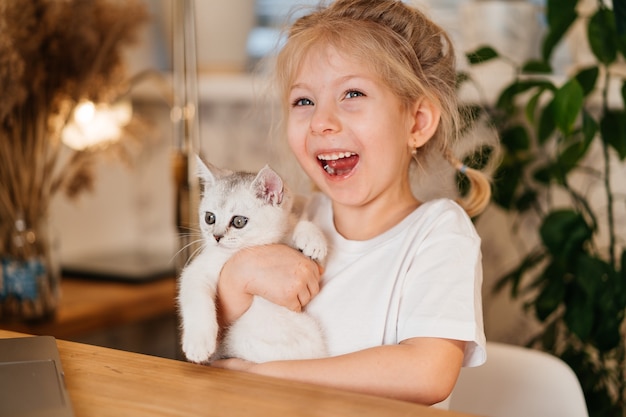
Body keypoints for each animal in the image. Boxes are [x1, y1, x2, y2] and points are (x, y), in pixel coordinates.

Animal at [178, 158, 326, 362]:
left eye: (239, 221)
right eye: (209, 218)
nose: (216, 237)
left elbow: (298, 225)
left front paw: (313, 240)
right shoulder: (197, 271)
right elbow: (196, 300)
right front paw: (198, 343)